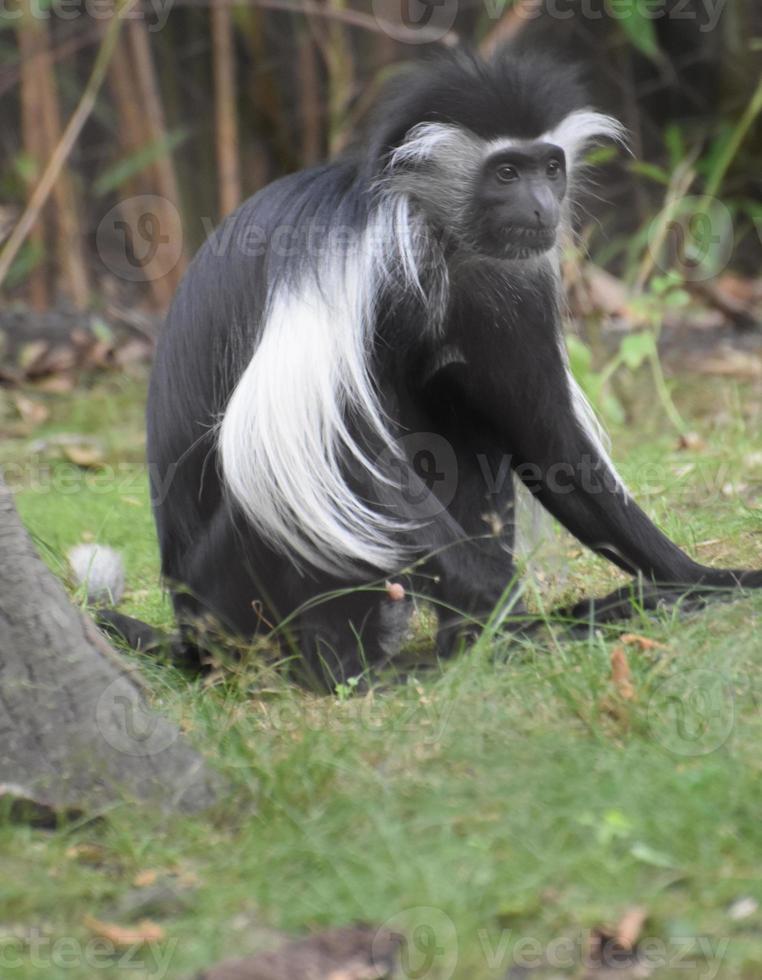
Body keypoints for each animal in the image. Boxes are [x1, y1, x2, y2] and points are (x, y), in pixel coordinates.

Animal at [144, 49, 760, 676]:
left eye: (550, 167)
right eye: (506, 172)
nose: (543, 206)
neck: (433, 230)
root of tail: (190, 625)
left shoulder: (508, 278)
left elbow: (548, 439)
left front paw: (703, 579)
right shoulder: (351, 253)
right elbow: (332, 445)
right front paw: (514, 612)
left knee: (461, 410)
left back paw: (463, 641)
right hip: (232, 590)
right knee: (289, 482)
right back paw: (365, 667)